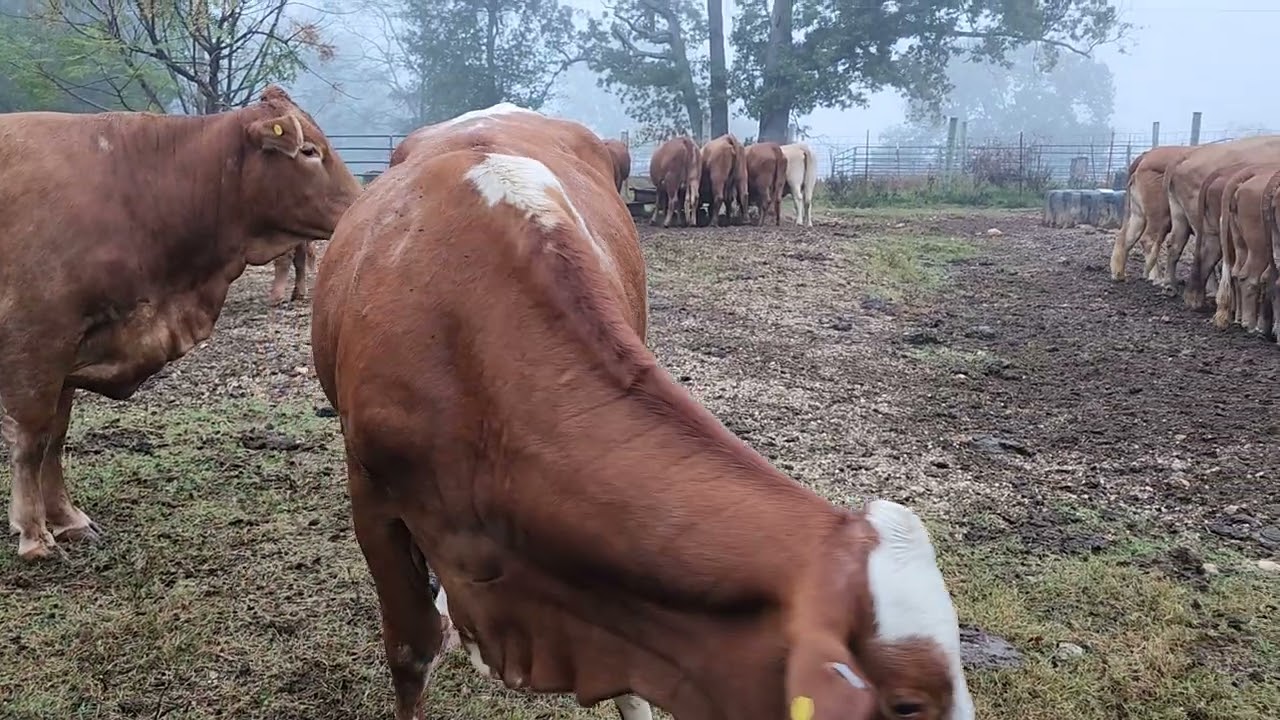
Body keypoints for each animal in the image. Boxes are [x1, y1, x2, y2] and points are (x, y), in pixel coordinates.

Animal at [0, 85, 361, 561]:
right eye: (308, 150)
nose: (363, 204)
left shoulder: (72, 353)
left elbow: (56, 438)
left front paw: (66, 518)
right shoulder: (36, 342)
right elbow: (32, 440)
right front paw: (34, 533)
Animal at [1109, 145, 1191, 282]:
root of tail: (1147, 155)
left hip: (1138, 215)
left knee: (1125, 237)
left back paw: (1119, 274)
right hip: (1161, 216)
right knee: (1149, 240)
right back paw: (1156, 278)